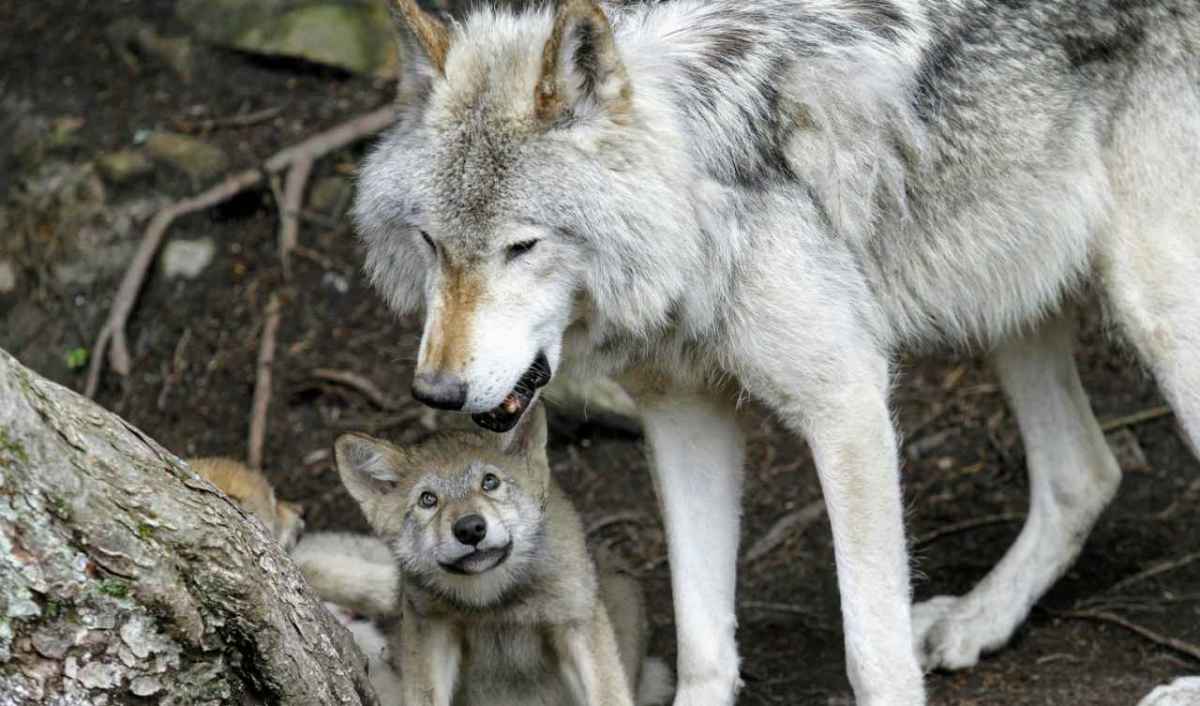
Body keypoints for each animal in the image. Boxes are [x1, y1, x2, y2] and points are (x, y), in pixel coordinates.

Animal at [307, 403, 671, 706]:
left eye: (490, 482)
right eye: (428, 500)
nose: (470, 529)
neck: (496, 603)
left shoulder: (576, 624)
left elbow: (610, 694)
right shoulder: (431, 632)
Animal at [352, 0, 1200, 703]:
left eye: (522, 247)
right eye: (431, 244)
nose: (436, 392)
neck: (698, 201)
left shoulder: (848, 404)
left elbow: (872, 653)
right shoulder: (683, 415)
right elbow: (702, 641)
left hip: (1156, 309)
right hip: (1008, 295)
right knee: (1084, 473)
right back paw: (979, 619)